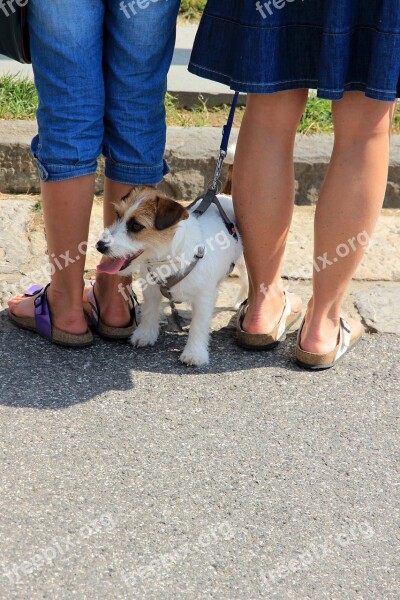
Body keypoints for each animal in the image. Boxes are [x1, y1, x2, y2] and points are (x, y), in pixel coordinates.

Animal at [97, 186, 247, 366]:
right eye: (118, 215)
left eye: (136, 226)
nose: (100, 245)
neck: (170, 259)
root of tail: (223, 196)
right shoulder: (151, 290)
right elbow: (149, 312)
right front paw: (145, 334)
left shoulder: (204, 298)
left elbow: (198, 325)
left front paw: (194, 353)